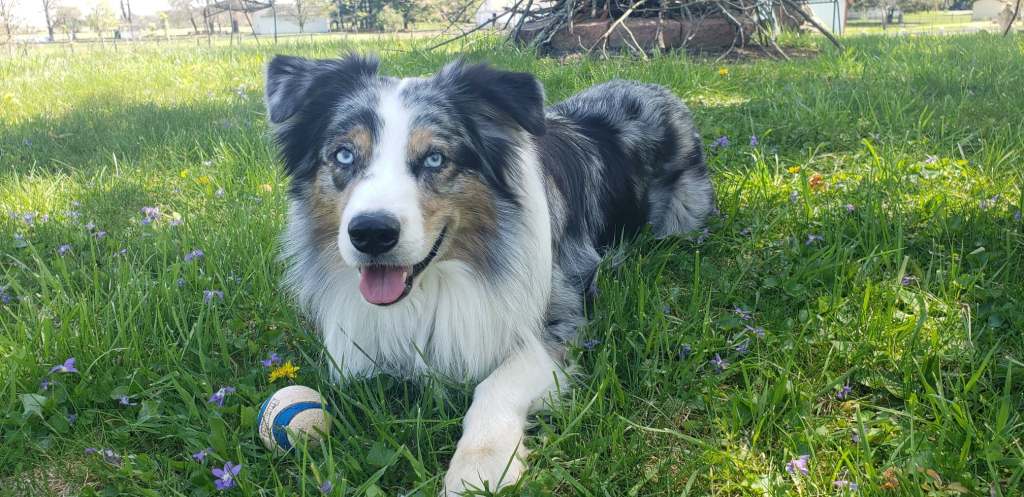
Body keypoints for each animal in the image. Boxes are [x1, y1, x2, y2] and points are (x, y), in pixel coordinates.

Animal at [263, 54, 715, 495]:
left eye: (435, 158)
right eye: (344, 155)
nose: (371, 233)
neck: (438, 281)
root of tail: (655, 88)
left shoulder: (558, 317)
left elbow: (496, 384)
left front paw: (478, 467)